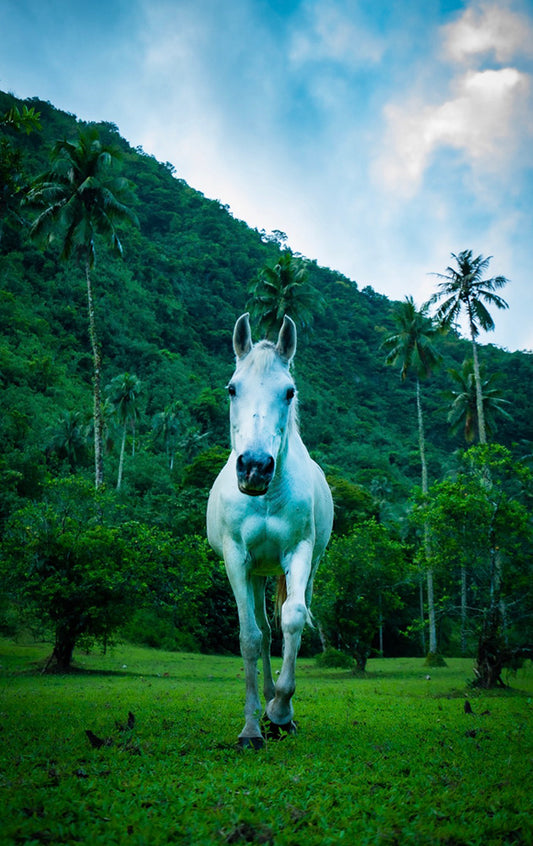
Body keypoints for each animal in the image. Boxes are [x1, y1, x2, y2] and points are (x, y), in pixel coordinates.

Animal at [207, 313, 333, 748]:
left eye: (289, 392)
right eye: (232, 388)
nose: (256, 467)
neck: (265, 497)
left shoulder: (300, 552)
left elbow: (293, 619)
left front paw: (281, 710)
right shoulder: (236, 559)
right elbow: (249, 638)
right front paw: (250, 729)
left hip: (299, 568)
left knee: (288, 617)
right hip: (255, 572)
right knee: (261, 631)